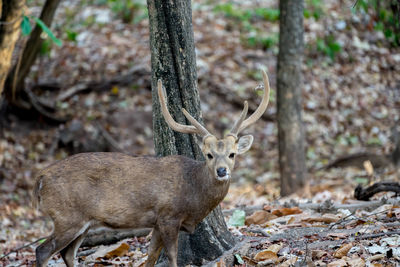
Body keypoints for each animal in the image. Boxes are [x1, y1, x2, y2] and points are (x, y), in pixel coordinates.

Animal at [33, 70, 272, 267]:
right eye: (209, 155)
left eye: (233, 154)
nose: (222, 171)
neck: (193, 193)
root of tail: (41, 178)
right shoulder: (168, 216)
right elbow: (172, 258)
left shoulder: (156, 223)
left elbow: (150, 257)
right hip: (66, 216)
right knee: (43, 250)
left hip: (83, 222)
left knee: (67, 253)